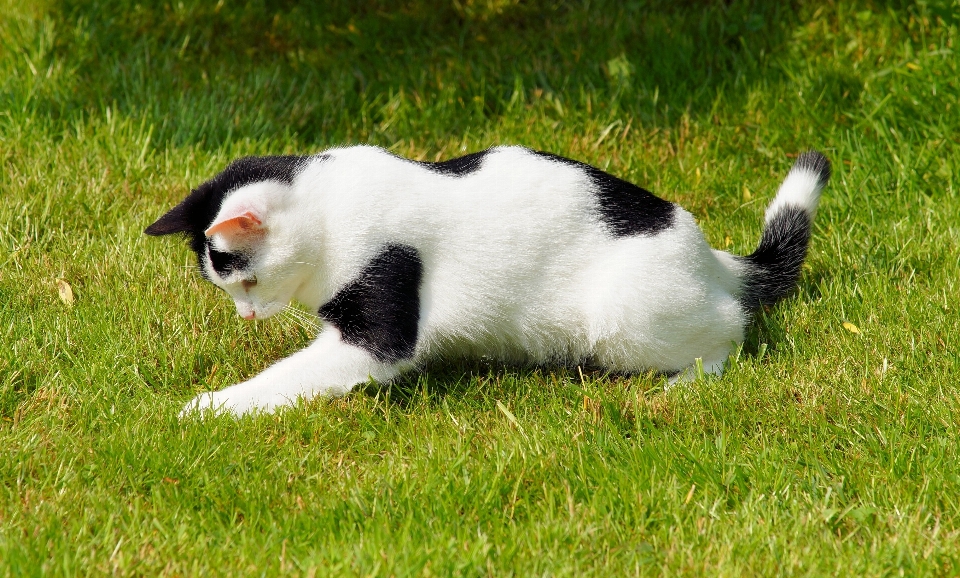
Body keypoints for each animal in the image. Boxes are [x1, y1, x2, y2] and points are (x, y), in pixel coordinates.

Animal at [146, 145, 828, 414]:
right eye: (229, 289)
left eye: (245, 283)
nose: (245, 316)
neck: (328, 211)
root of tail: (709, 254)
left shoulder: (375, 329)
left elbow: (286, 377)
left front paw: (210, 407)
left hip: (623, 316)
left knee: (732, 325)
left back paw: (690, 380)